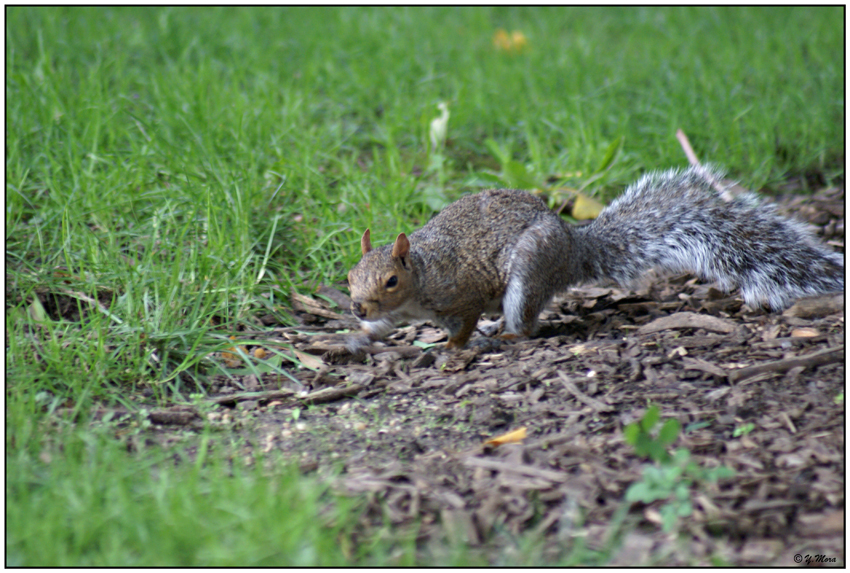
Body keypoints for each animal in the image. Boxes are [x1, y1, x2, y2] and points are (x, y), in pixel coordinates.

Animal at [347, 166, 844, 350]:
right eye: (351, 276)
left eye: (391, 280)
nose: (356, 307)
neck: (420, 280)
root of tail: (573, 246)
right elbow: (383, 327)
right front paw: (357, 338)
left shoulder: (459, 294)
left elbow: (464, 322)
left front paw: (453, 346)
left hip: (530, 269)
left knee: (526, 323)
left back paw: (505, 334)